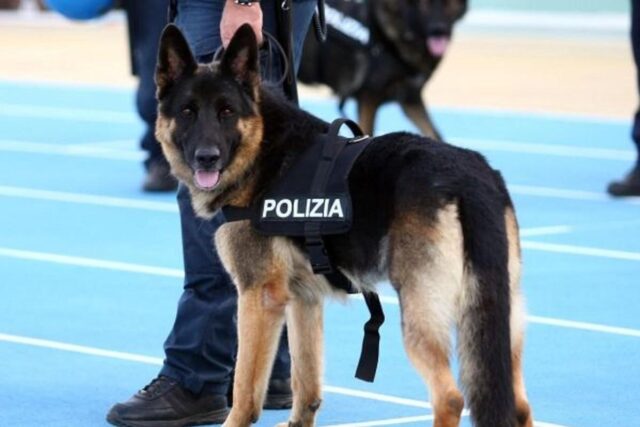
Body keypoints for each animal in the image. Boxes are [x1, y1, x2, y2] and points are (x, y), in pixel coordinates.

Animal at [156, 23, 536, 427]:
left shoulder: (258, 297)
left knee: (449, 397)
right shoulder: (303, 299)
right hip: (496, 319)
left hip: (422, 313)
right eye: (188, 112)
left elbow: (245, 388)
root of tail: (469, 178)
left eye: (226, 112)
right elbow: (305, 384)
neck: (262, 146)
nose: (206, 158)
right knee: (518, 404)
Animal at [298, 0, 468, 139]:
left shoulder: (411, 100)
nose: (439, 30)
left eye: (447, 3)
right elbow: (368, 132)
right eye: (424, 3)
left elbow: (435, 134)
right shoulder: (368, 99)